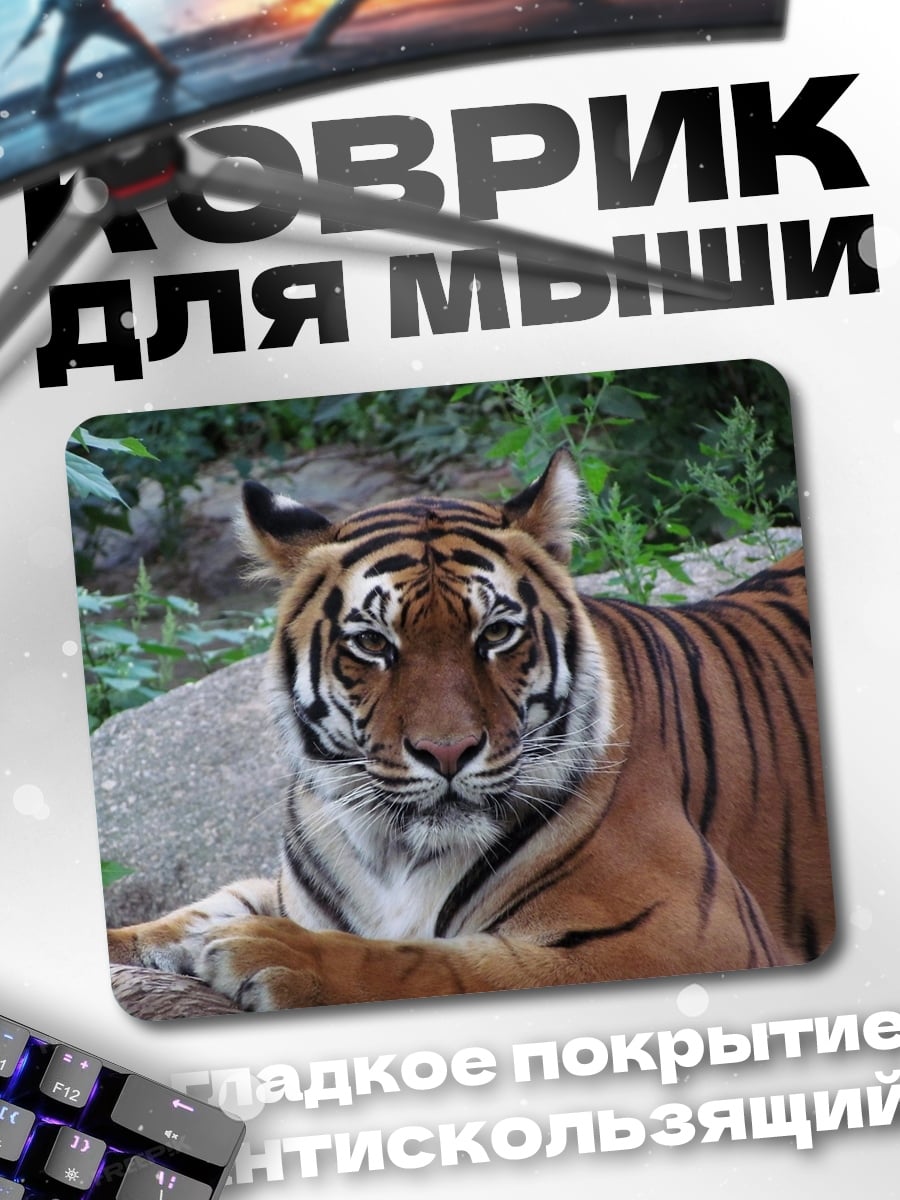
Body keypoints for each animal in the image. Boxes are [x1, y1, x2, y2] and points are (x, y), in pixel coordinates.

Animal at [107, 448, 834, 1011]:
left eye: (497, 633)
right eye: (373, 643)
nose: (447, 751)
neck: (393, 853)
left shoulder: (683, 936)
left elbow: (435, 961)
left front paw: (276, 957)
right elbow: (198, 910)